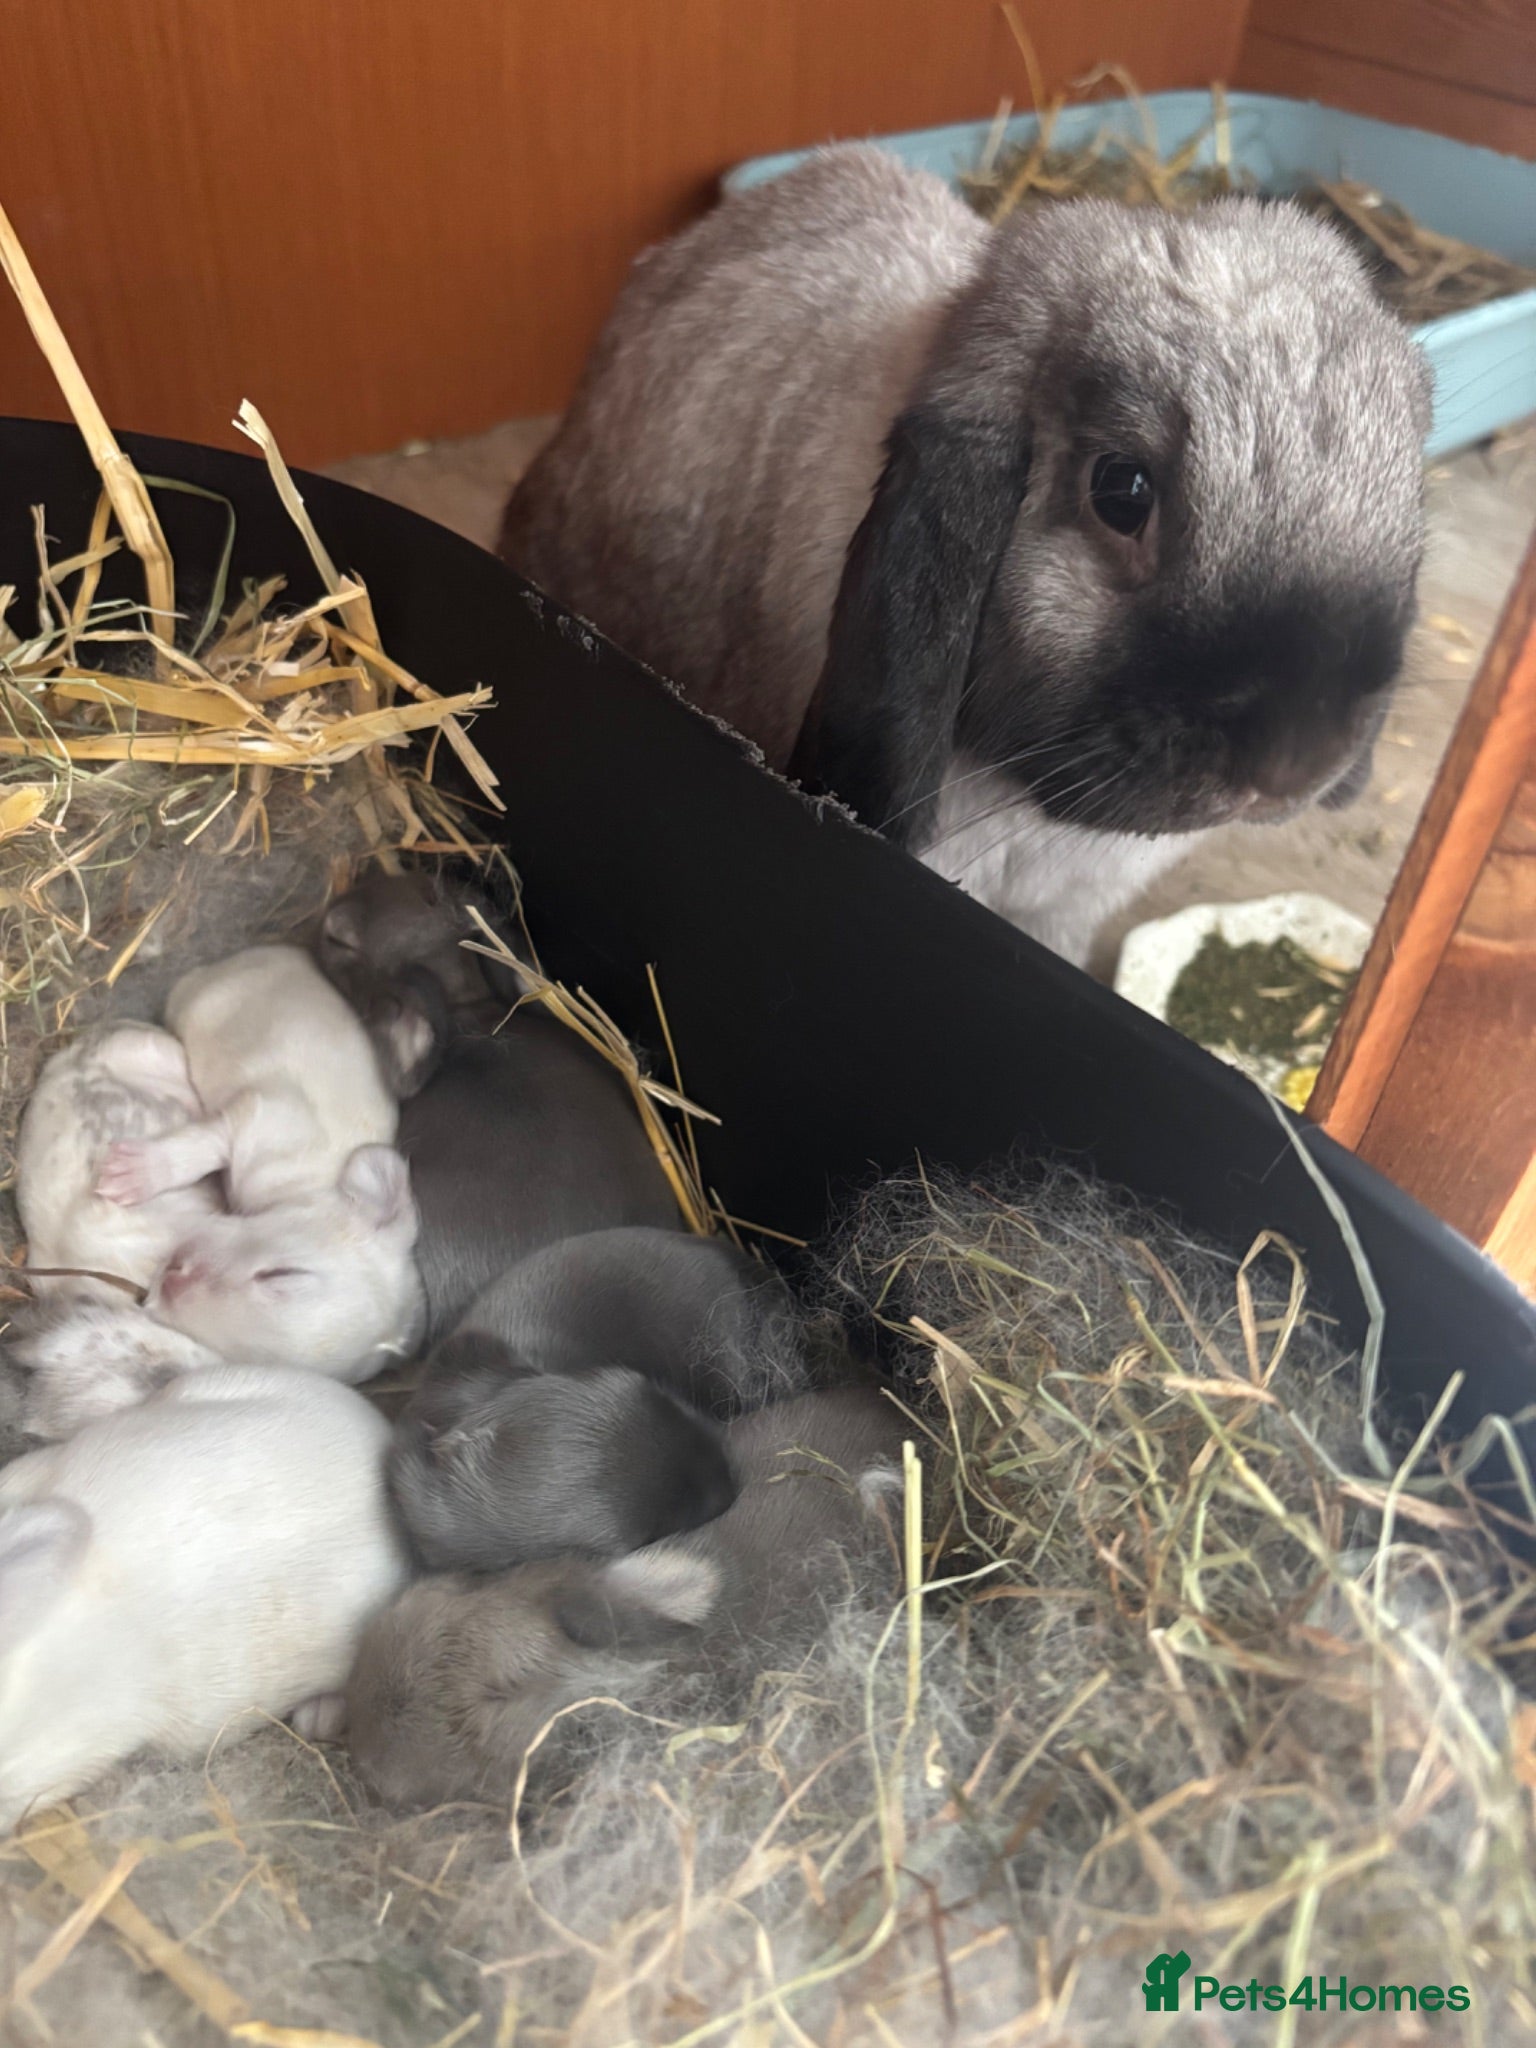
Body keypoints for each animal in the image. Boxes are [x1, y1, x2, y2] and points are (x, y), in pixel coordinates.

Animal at [95, 946, 424, 1381]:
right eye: (282, 1274)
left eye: (251, 1360)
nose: (172, 1281)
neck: (316, 1179)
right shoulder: (257, 1116)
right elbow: (202, 1142)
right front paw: (132, 1173)